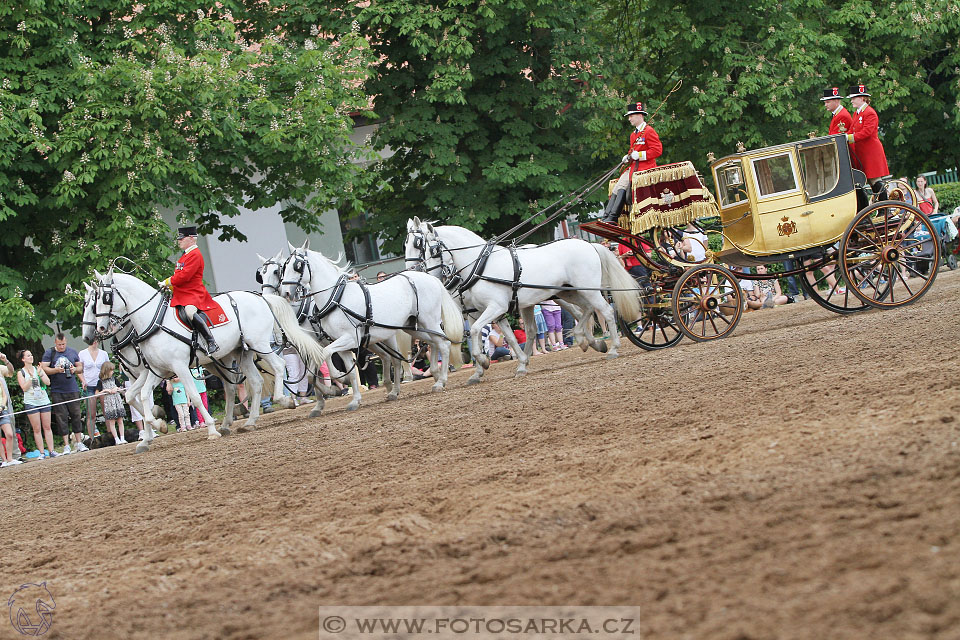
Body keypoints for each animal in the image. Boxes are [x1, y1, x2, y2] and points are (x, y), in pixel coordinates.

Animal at [404, 215, 636, 384]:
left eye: (420, 244)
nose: (414, 271)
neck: (480, 266)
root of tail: (588, 245)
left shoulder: (495, 307)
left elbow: (478, 332)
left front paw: (484, 361)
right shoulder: (480, 312)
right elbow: (502, 336)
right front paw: (508, 366)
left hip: (587, 290)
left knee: (604, 311)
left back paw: (612, 348)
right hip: (567, 292)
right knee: (584, 311)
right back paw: (588, 341)